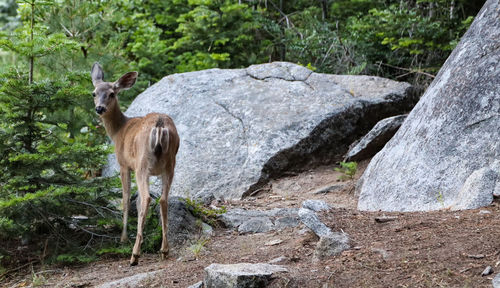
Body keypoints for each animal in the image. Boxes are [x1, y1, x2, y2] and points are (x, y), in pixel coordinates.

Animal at [90, 63, 180, 266]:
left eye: (112, 93)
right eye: (94, 93)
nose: (99, 108)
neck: (118, 131)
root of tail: (160, 125)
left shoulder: (124, 165)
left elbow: (125, 200)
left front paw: (123, 238)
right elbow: (137, 203)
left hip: (142, 164)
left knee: (147, 198)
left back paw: (134, 255)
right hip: (170, 163)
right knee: (163, 199)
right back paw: (164, 250)